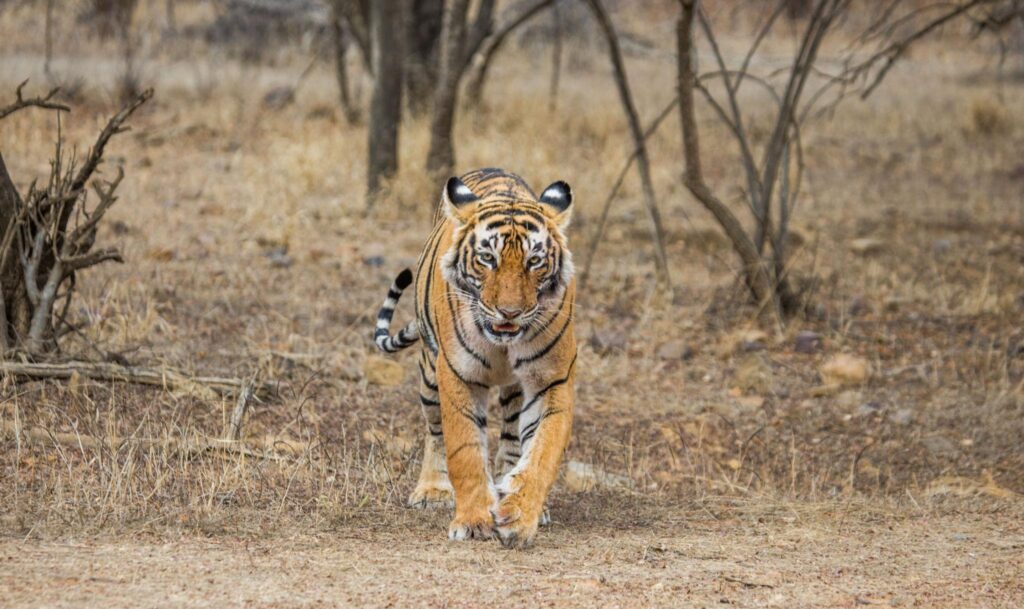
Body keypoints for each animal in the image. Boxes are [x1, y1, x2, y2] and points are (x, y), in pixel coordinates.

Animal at [373, 168, 577, 549]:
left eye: (534, 261)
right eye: (487, 259)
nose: (509, 312)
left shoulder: (551, 381)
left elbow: (542, 453)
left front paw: (518, 515)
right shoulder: (458, 374)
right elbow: (463, 449)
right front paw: (472, 522)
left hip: (514, 391)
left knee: (511, 439)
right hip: (429, 374)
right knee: (435, 432)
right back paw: (432, 490)